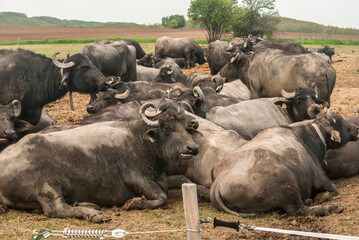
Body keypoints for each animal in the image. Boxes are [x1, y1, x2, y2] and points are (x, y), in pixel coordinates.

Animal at [0, 99, 200, 221]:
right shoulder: (135, 176)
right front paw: (134, 203)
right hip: (47, 187)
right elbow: (162, 196)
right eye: (167, 127)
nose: (193, 148)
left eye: (185, 127)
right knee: (55, 209)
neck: (139, 140)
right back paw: (94, 213)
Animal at [211, 111, 359, 217]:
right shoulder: (321, 178)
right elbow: (333, 191)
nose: (356, 129)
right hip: (286, 179)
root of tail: (218, 182)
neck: (305, 138)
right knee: (298, 209)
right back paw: (331, 207)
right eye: (340, 120)